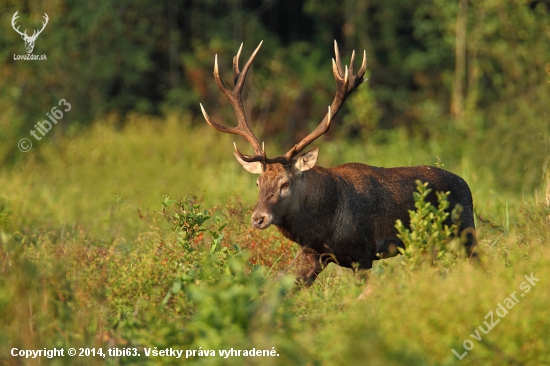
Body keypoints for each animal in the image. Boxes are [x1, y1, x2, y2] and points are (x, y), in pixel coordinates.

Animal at [199, 40, 478, 286]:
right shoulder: (313, 254)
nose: (258, 218)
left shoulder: (363, 253)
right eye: (258, 182)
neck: (325, 225)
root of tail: (467, 186)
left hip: (466, 233)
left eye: (285, 183)